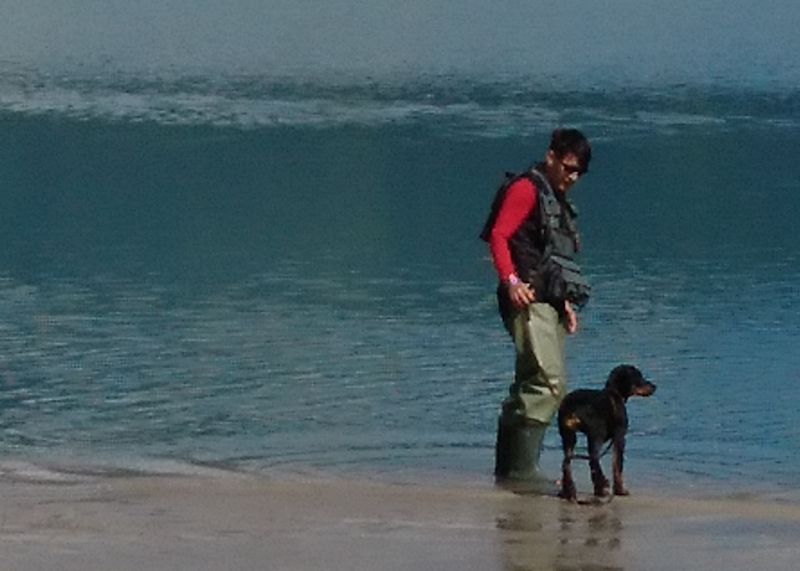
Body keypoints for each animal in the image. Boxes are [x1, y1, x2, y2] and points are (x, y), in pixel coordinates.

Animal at [557, 365, 656, 502]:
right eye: (639, 377)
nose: (654, 386)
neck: (615, 394)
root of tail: (571, 407)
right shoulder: (619, 437)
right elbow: (617, 465)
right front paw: (620, 490)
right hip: (596, 433)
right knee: (593, 459)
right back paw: (601, 486)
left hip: (568, 435)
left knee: (566, 463)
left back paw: (569, 492)